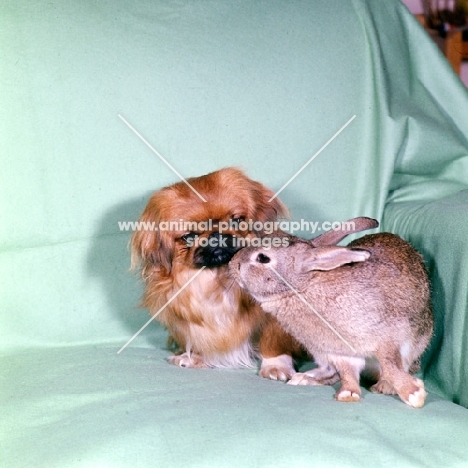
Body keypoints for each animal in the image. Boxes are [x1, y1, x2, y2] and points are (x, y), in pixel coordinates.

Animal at [130, 166, 302, 378]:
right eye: (189, 236)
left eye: (236, 221)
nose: (216, 236)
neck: (218, 279)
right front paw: (195, 358)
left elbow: (272, 342)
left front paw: (275, 367)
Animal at [229, 232, 434, 408]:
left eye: (263, 258)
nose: (231, 263)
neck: (301, 288)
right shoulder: (340, 353)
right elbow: (347, 373)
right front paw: (348, 394)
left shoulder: (386, 339)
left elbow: (390, 366)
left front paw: (414, 394)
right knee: (330, 371)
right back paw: (303, 378)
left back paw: (384, 386)